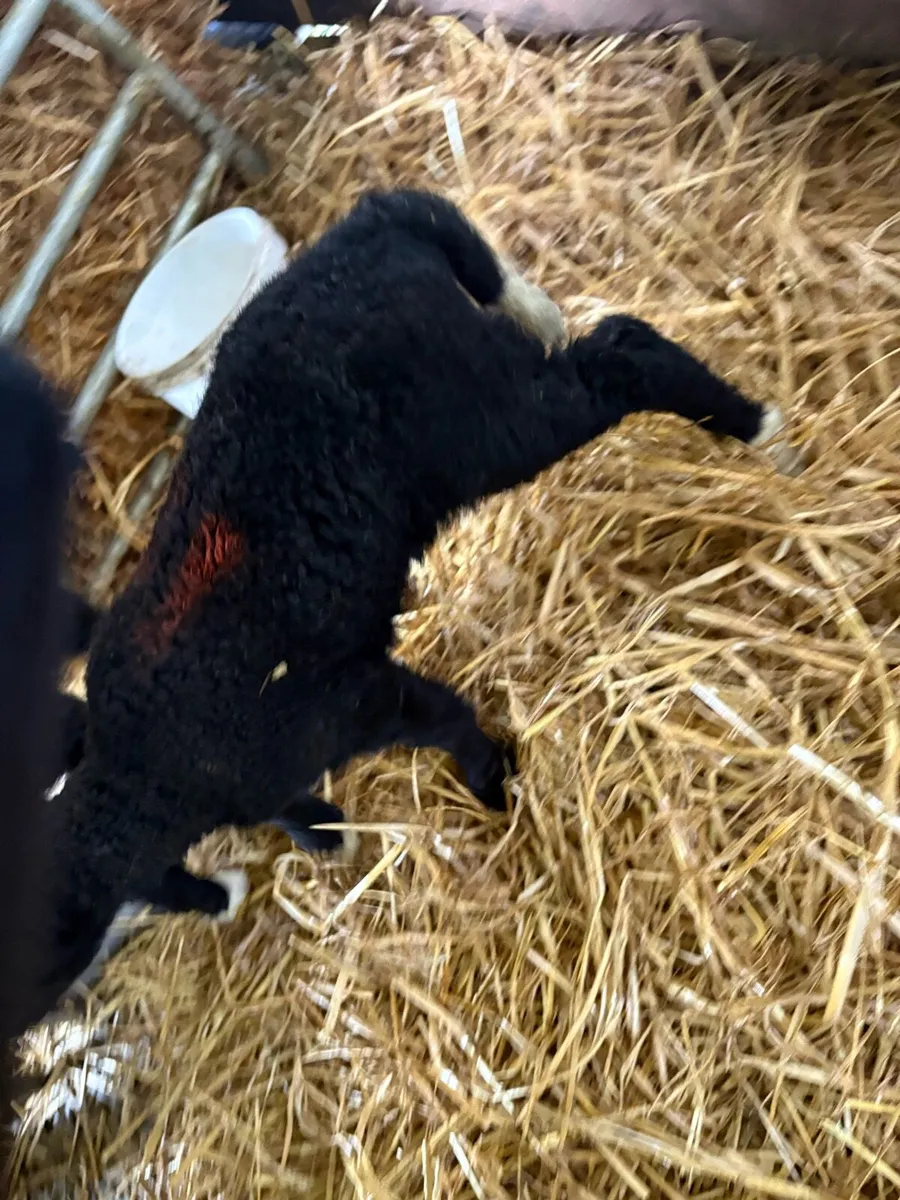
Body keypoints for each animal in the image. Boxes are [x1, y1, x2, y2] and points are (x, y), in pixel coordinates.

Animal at [35, 188, 794, 1028]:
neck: (144, 774)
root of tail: (365, 229)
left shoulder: (354, 700)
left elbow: (444, 721)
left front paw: (494, 784)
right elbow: (298, 804)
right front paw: (329, 835)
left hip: (481, 421)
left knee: (623, 352)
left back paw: (757, 426)